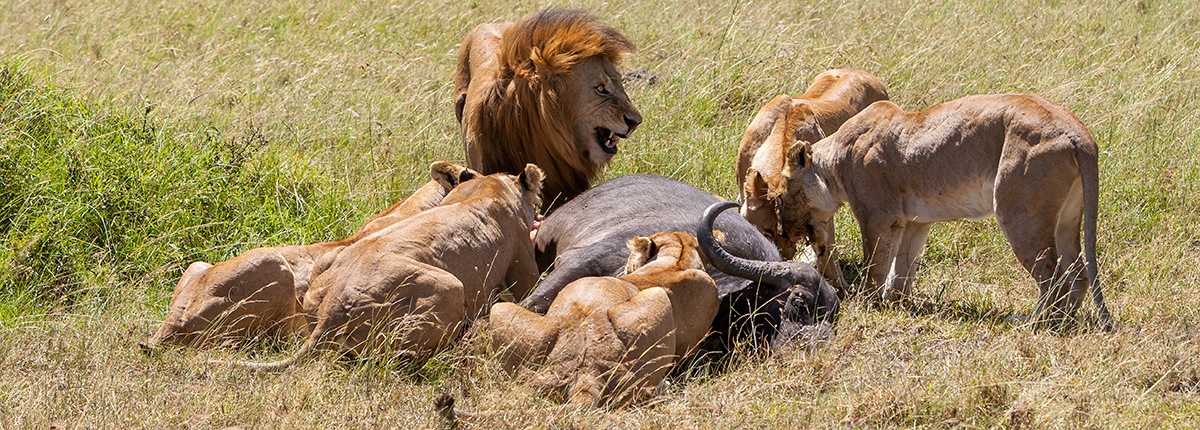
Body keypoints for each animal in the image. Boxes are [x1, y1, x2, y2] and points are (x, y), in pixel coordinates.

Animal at [216, 164, 545, 370]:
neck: (488, 185)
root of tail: (331, 312)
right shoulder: (521, 260)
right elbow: (530, 287)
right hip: (450, 287)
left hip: (325, 266)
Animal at [736, 69, 889, 295]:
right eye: (767, 231)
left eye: (788, 234)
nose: (782, 259)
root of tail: (858, 71)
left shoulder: (822, 208)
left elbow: (827, 251)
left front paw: (839, 289)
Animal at [776, 94, 1112, 327]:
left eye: (779, 197)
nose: (784, 231)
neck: (833, 165)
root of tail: (1079, 134)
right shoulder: (914, 222)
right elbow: (902, 266)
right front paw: (896, 303)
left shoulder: (879, 215)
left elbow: (876, 265)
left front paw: (868, 304)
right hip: (1066, 219)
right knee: (1079, 273)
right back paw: (1065, 320)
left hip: (1020, 213)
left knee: (1053, 277)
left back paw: (1035, 323)